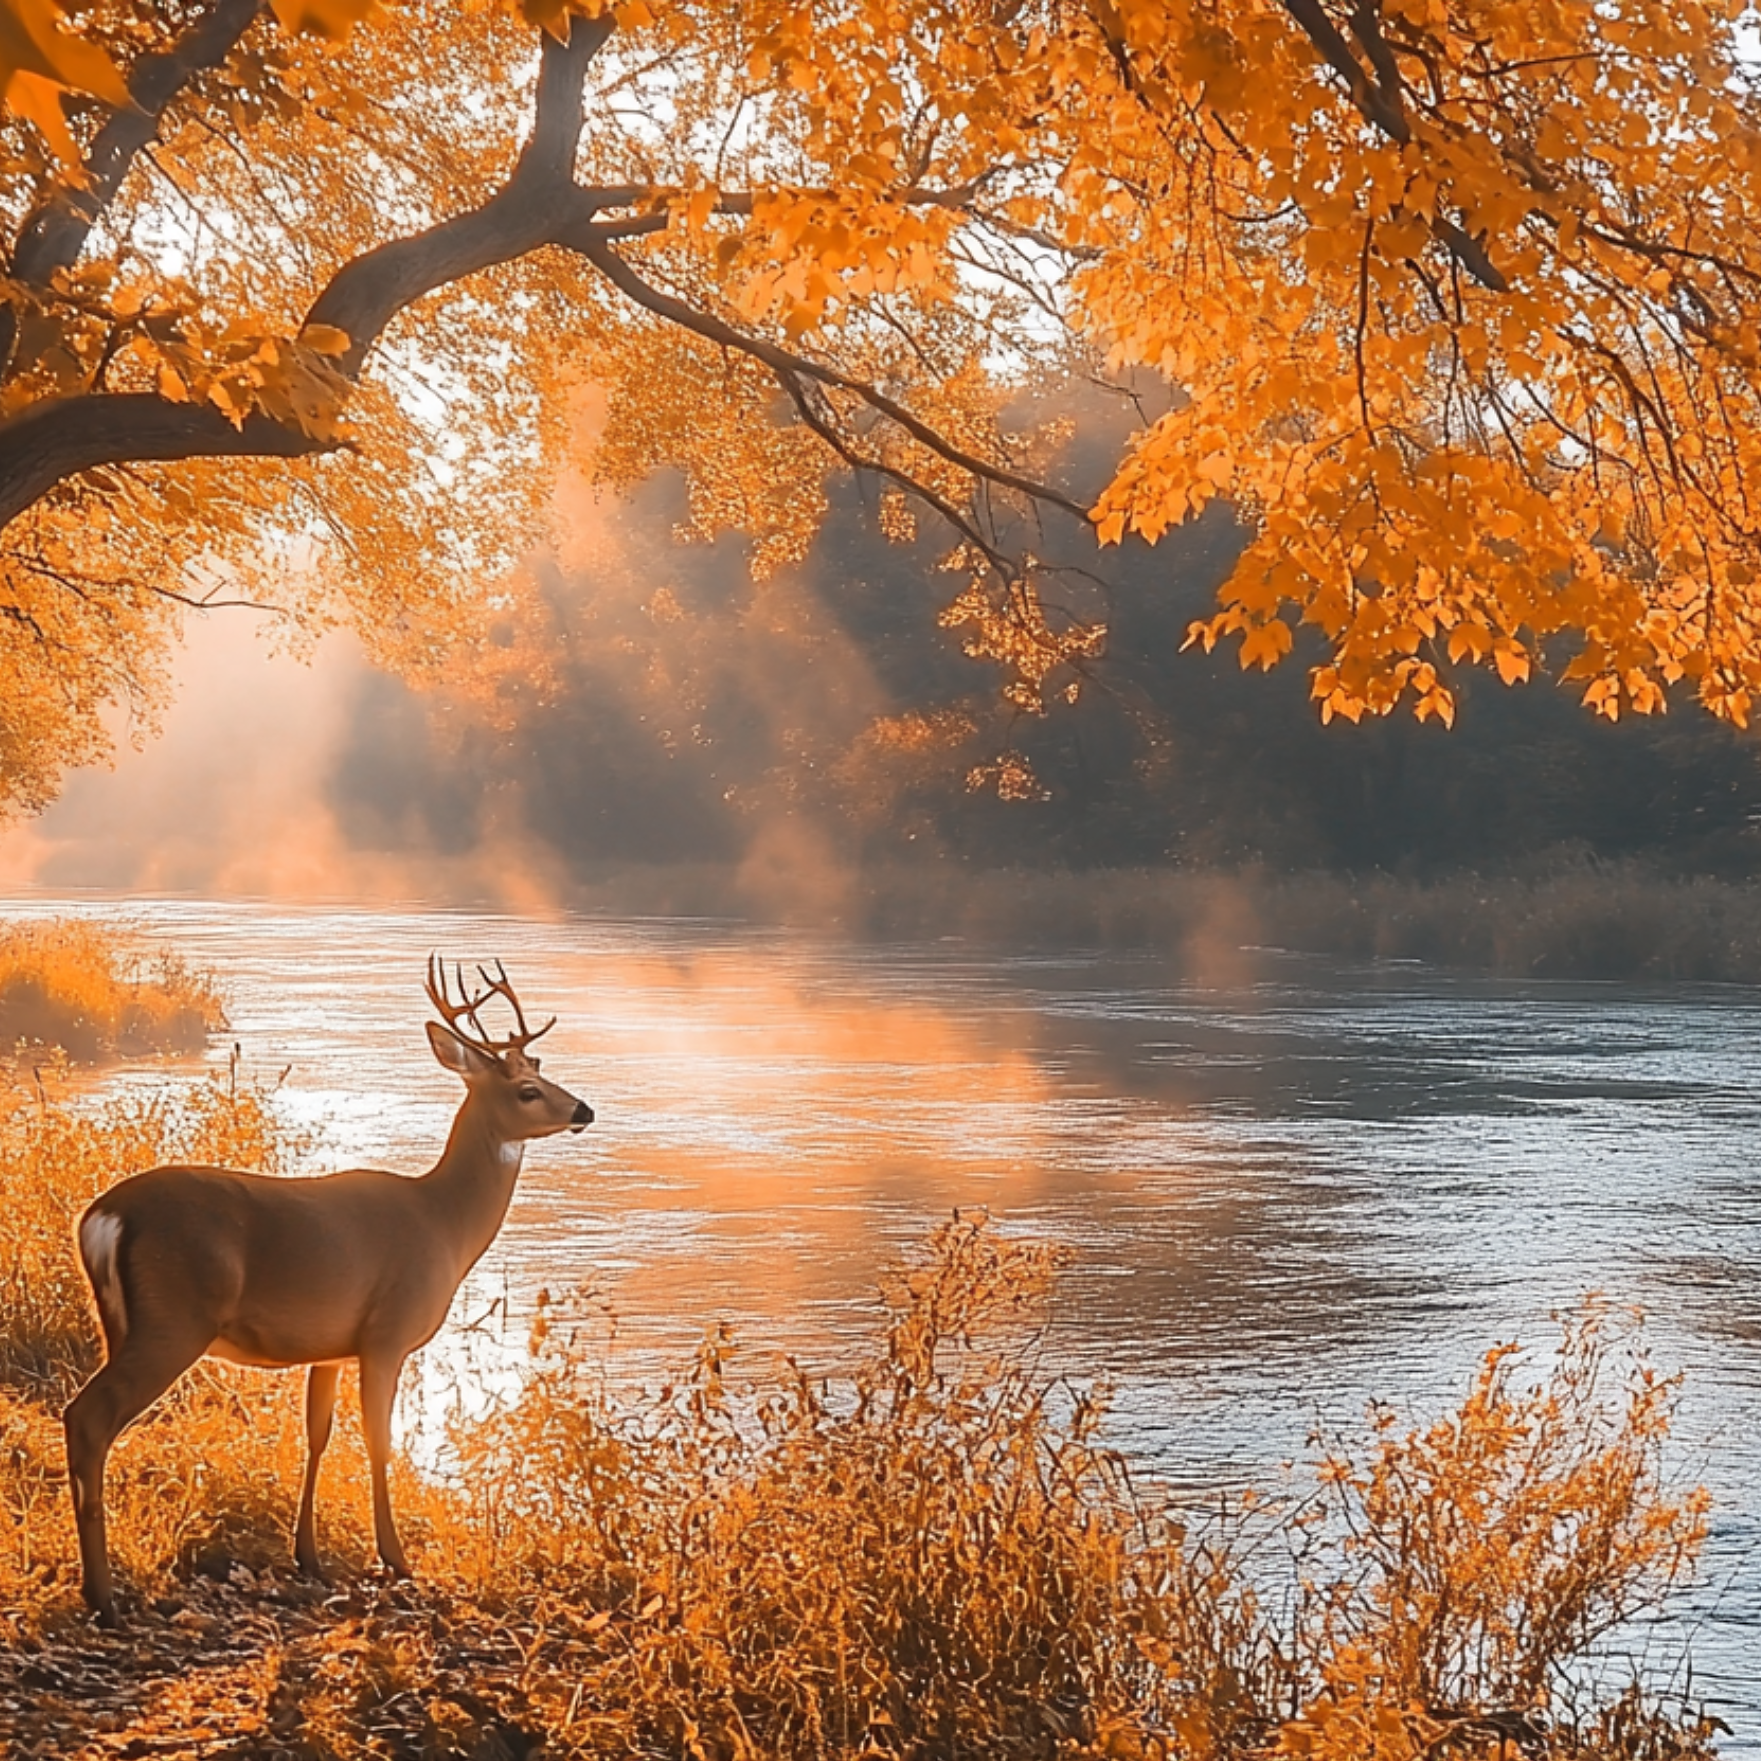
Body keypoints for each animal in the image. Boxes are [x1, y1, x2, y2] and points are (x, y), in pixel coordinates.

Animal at [63, 958, 594, 1627]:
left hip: (117, 1321)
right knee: (88, 1416)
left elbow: (317, 1435)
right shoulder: (387, 1333)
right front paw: (396, 1558)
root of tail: (101, 1217)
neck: (444, 1224)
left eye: (540, 1068)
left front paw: (309, 1556)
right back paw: (103, 1597)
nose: (584, 1110)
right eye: (526, 1090)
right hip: (172, 1321)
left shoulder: (332, 1347)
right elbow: (378, 1440)